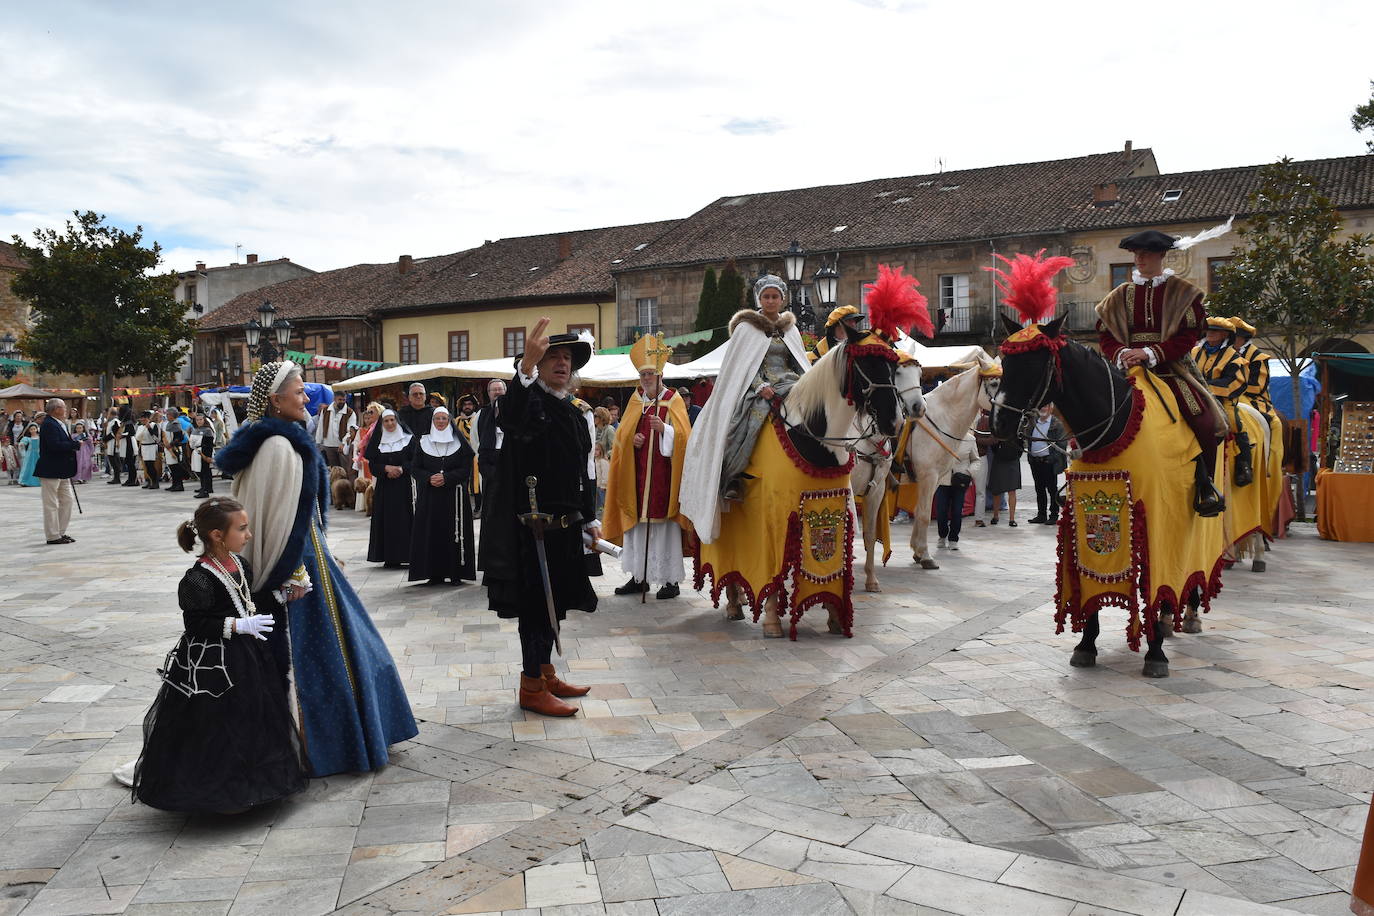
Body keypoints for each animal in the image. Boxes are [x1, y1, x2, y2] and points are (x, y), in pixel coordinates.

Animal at [851, 362, 928, 590]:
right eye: (898, 372)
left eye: (920, 373)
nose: (918, 407)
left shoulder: (875, 491)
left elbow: (869, 534)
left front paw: (871, 579)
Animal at [901, 354, 1000, 568]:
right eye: (994, 383)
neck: (941, 420)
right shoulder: (928, 476)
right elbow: (924, 514)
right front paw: (926, 556)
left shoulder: (934, 479)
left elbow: (921, 510)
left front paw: (918, 552)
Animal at [994, 318, 1209, 678]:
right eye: (1004, 363)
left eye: (1034, 365)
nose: (999, 426)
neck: (1116, 429)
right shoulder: (1081, 519)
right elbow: (1086, 577)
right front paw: (1086, 644)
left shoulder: (1154, 519)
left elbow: (1151, 578)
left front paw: (1154, 652)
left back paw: (1186, 614)